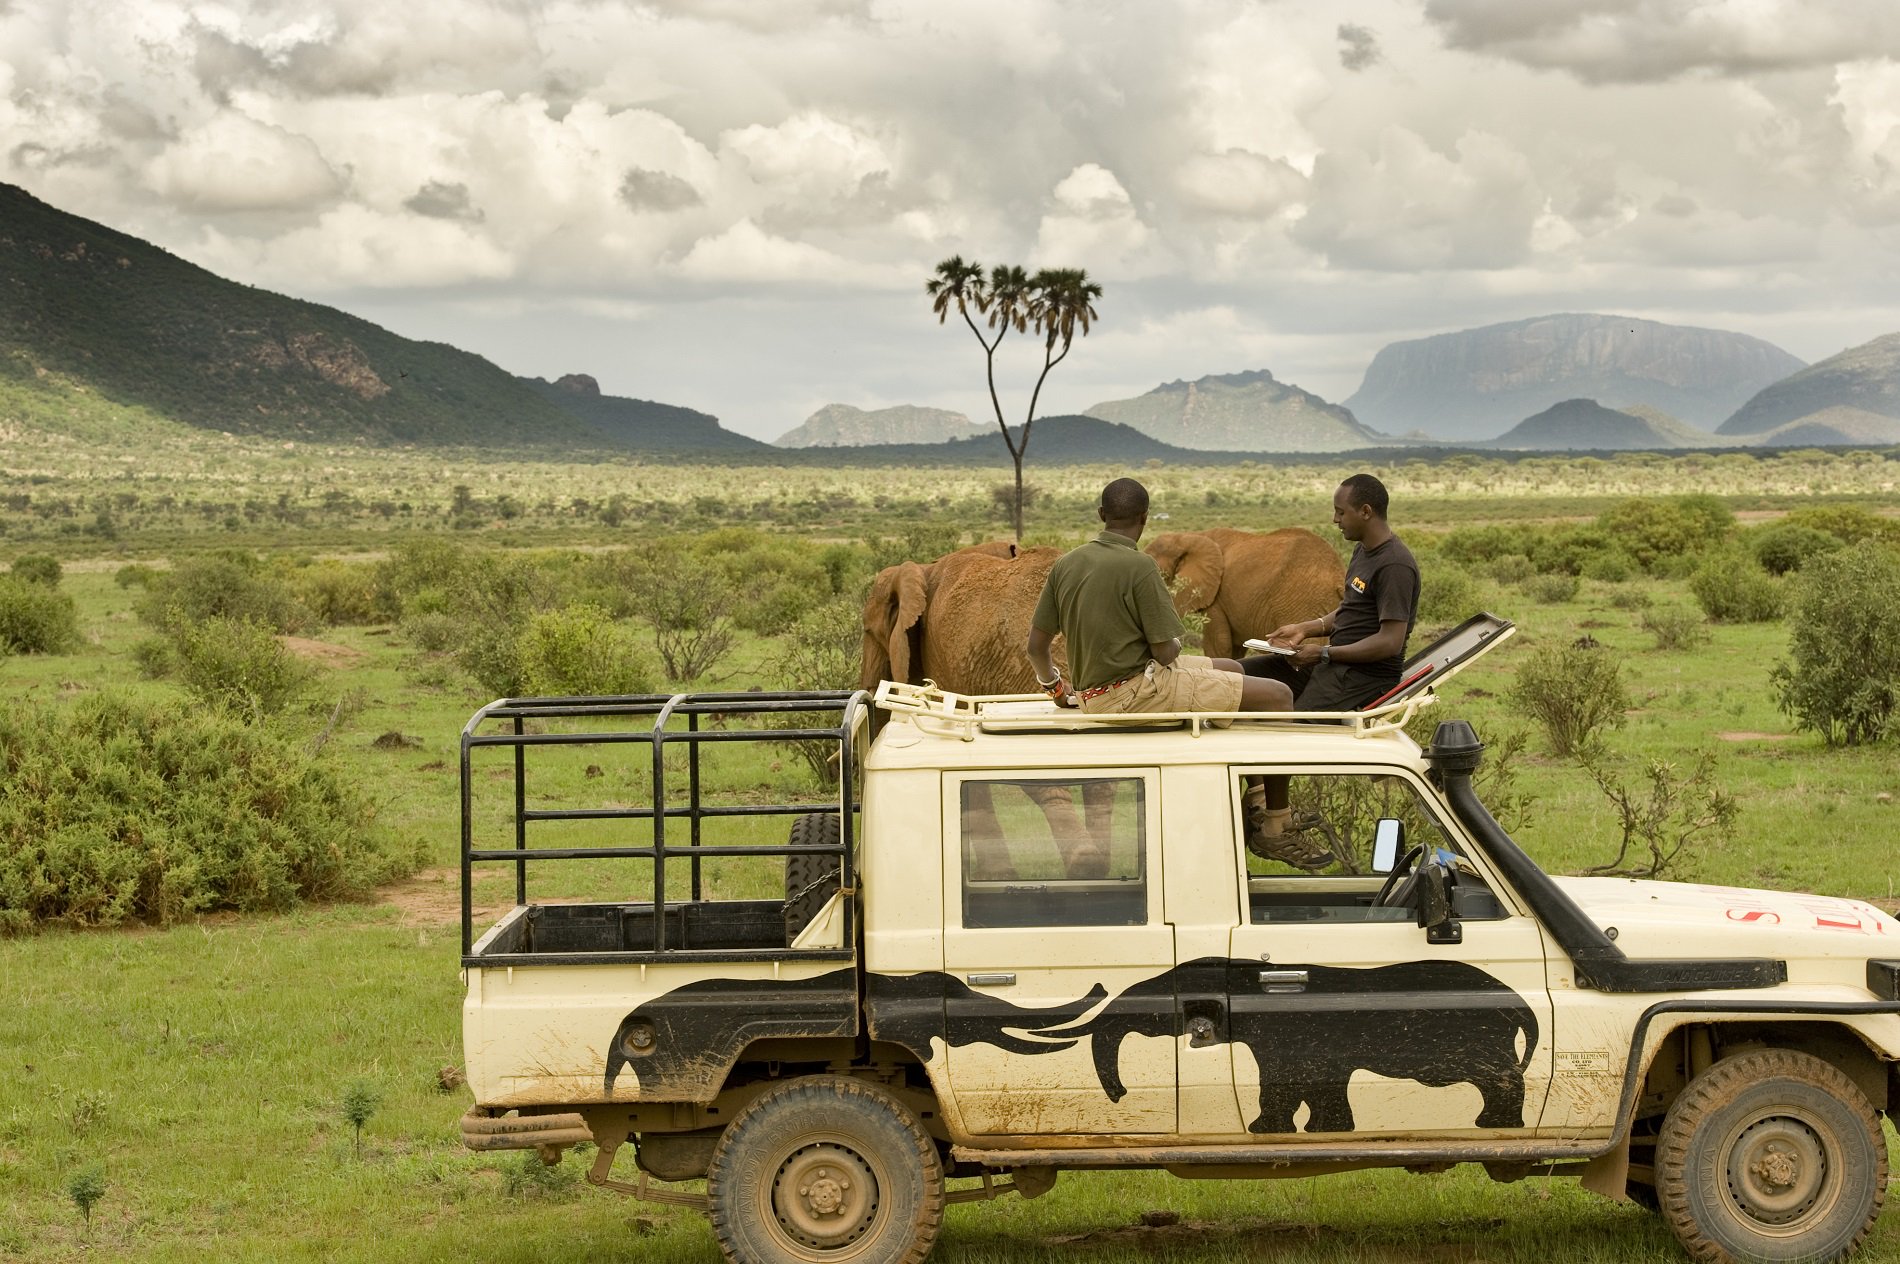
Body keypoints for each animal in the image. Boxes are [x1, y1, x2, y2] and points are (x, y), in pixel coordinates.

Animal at [1144, 528, 1345, 660]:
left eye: (1161, 575)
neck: (1188, 537)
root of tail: (1338, 575)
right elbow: (1234, 648)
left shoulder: (1216, 599)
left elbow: (1219, 646)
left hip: (1301, 601)